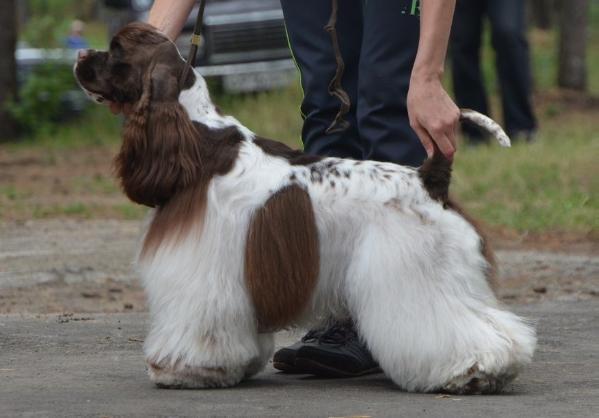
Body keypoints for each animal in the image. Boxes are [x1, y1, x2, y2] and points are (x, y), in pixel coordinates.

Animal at [75, 22, 540, 394]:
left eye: (115, 50)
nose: (80, 56)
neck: (197, 139)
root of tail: (429, 176)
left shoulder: (202, 268)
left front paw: (185, 370)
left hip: (417, 273)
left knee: (460, 329)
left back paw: (474, 371)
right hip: (449, 272)